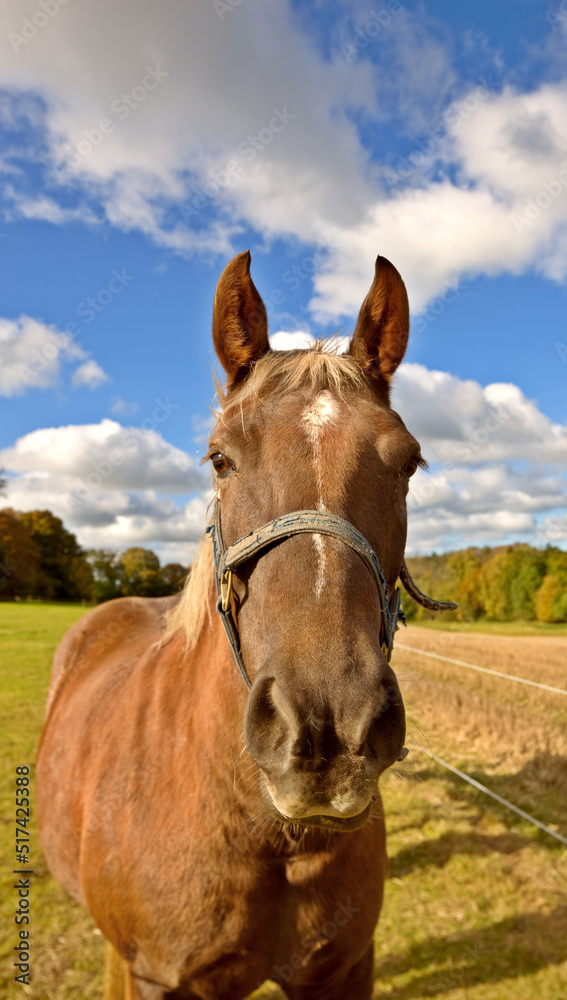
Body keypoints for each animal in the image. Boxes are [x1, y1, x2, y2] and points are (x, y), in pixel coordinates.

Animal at [35, 250, 454, 1000]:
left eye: (408, 462)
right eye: (220, 458)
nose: (327, 727)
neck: (259, 831)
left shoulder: (343, 968)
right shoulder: (151, 978)